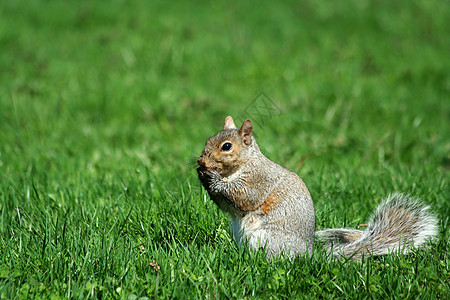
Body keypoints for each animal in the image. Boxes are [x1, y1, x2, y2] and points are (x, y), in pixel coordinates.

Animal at [197, 116, 440, 258]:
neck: (244, 164)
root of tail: (308, 258)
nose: (201, 161)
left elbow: (243, 195)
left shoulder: (258, 180)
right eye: (208, 139)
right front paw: (202, 175)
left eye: (227, 146)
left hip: (268, 239)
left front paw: (212, 178)